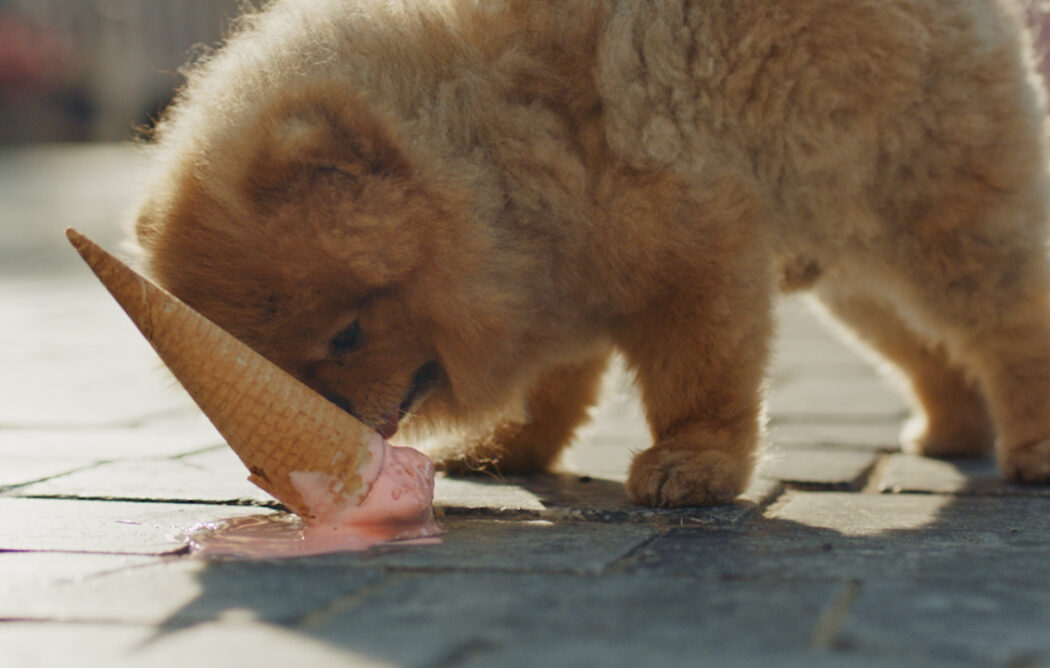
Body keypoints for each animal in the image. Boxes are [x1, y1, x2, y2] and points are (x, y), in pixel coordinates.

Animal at [133, 0, 1050, 506]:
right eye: (268, 365)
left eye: (349, 333)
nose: (333, 422)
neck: (502, 125)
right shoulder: (558, 264)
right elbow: (557, 382)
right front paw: (508, 447)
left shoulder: (697, 246)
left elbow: (701, 371)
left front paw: (693, 465)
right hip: (854, 273)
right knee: (928, 346)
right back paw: (952, 431)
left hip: (933, 215)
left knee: (1009, 324)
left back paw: (1033, 447)